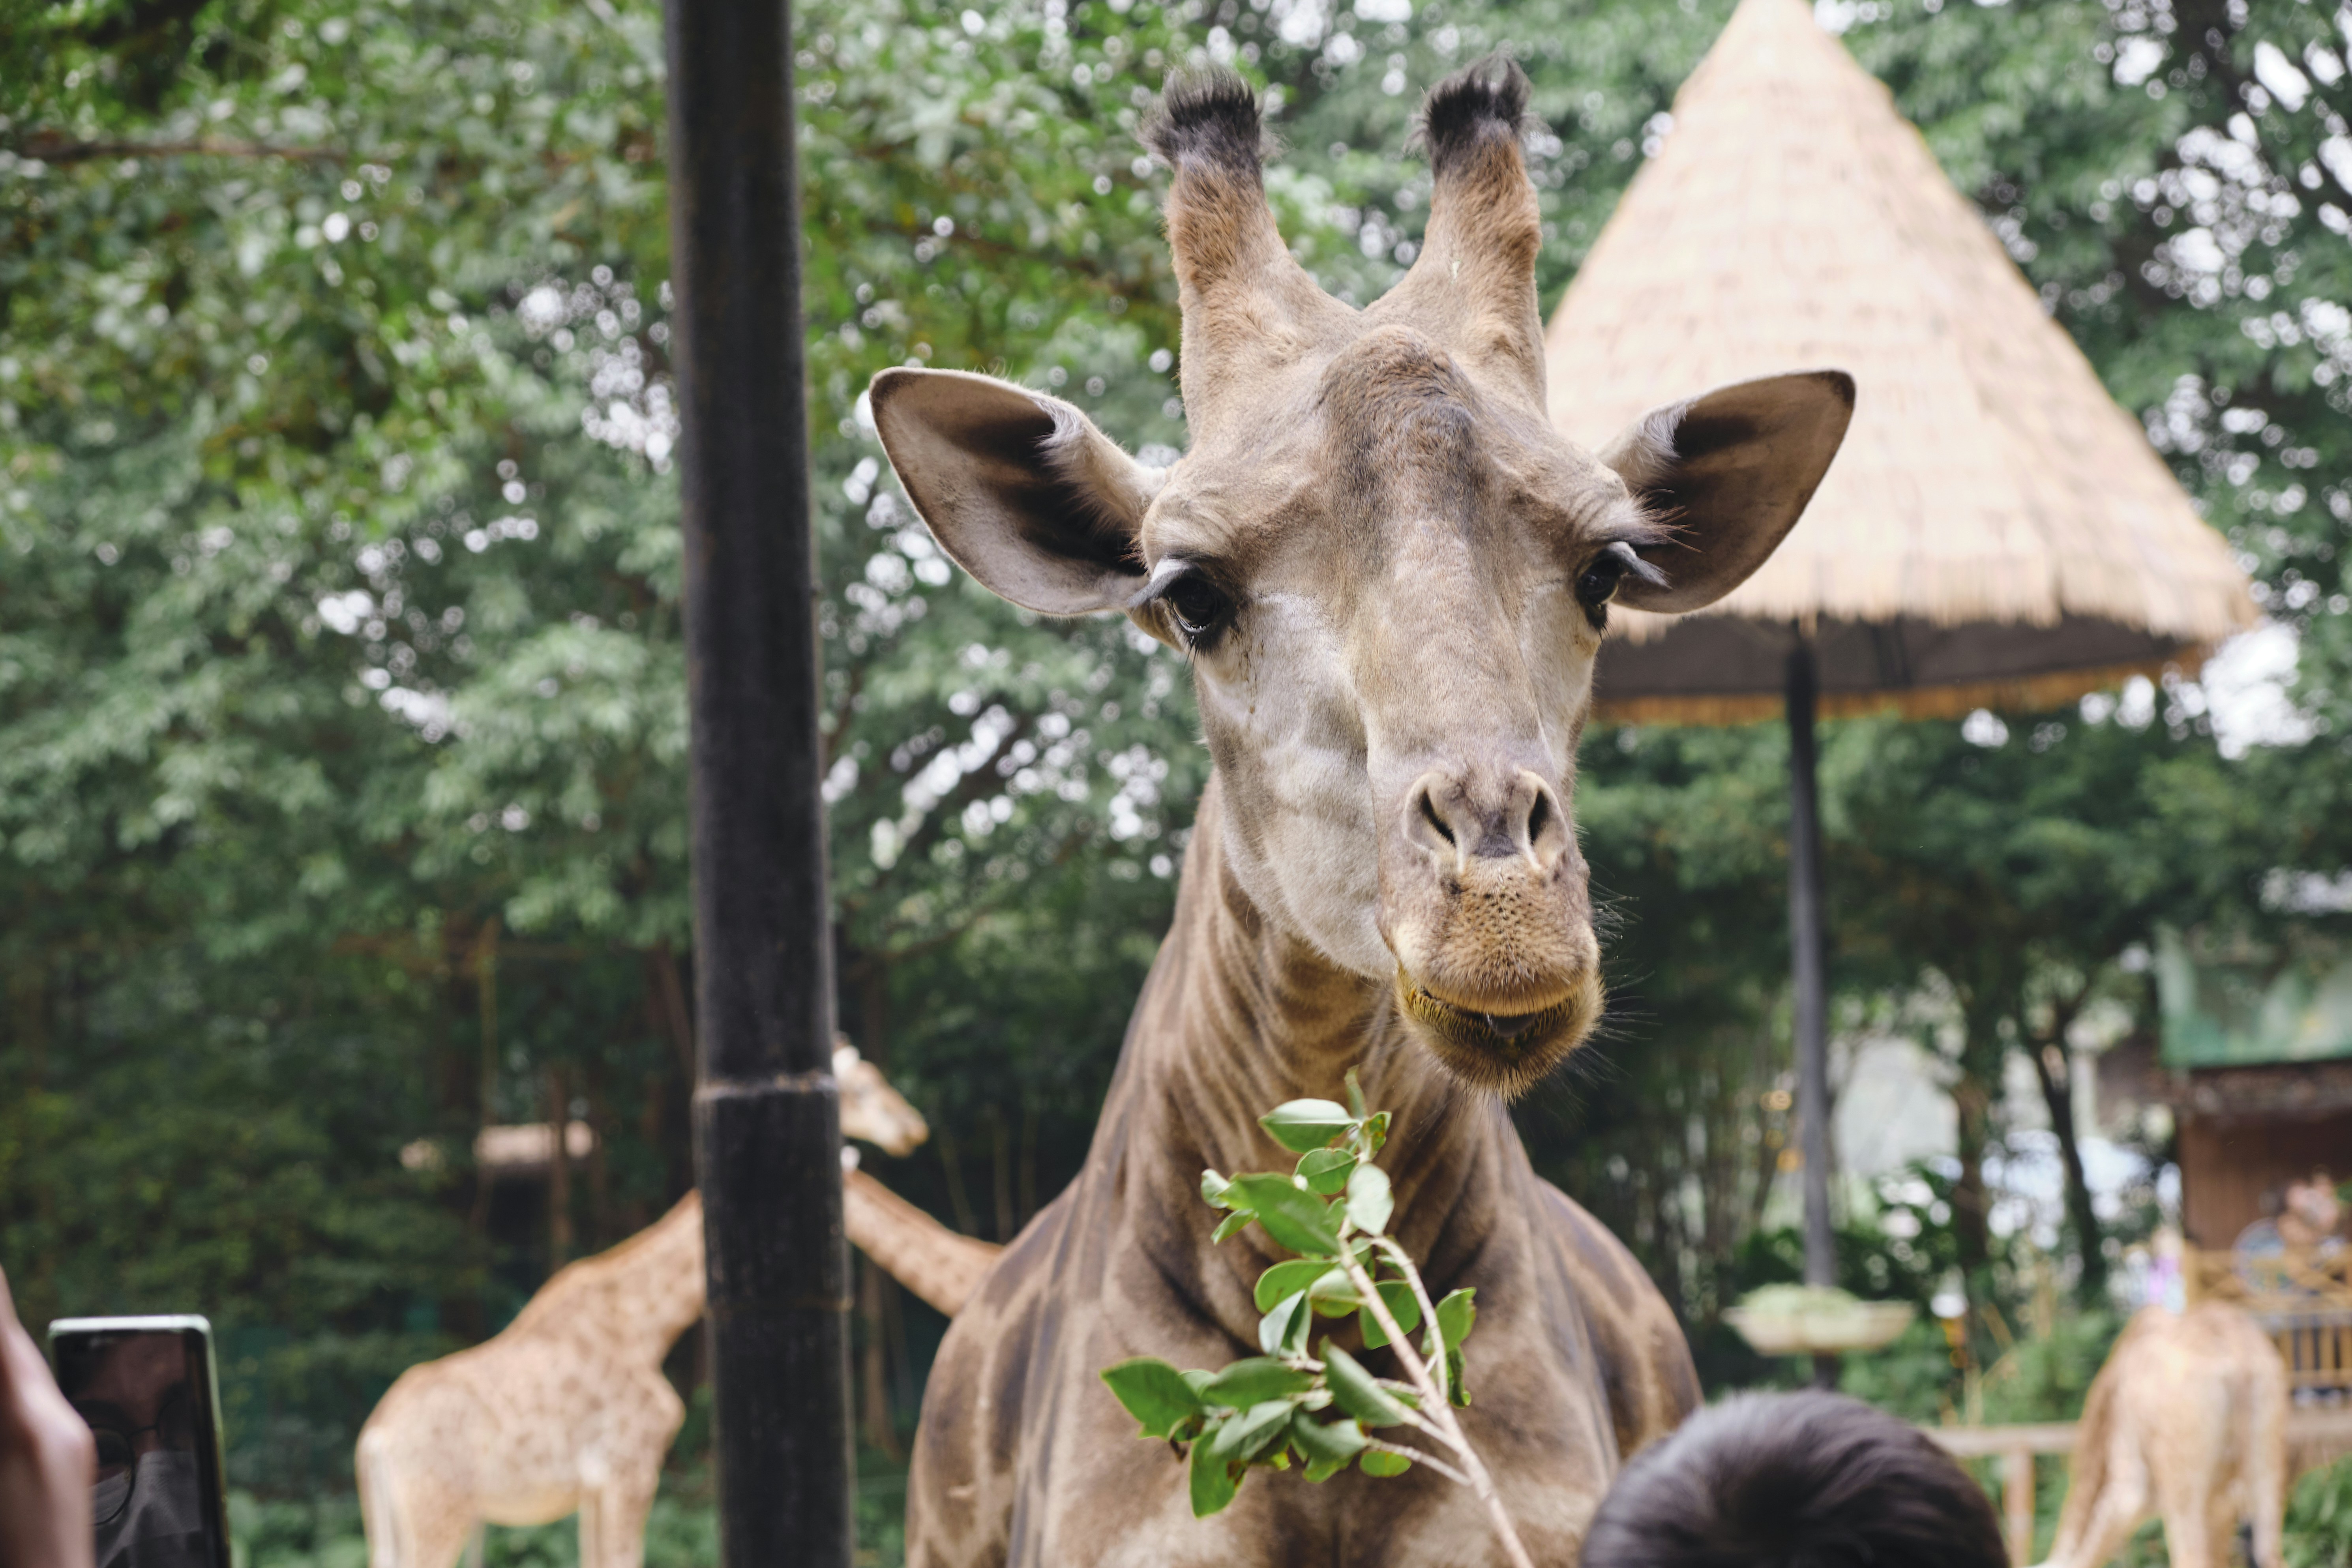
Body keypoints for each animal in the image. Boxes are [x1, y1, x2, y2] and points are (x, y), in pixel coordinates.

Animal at [357, 1044, 996, 1568]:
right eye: (862, 1085)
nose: (912, 1127)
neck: (644, 1326)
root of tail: (377, 1437)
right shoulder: (629, 1469)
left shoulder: (598, 1486)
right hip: (441, 1510)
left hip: (395, 1521)